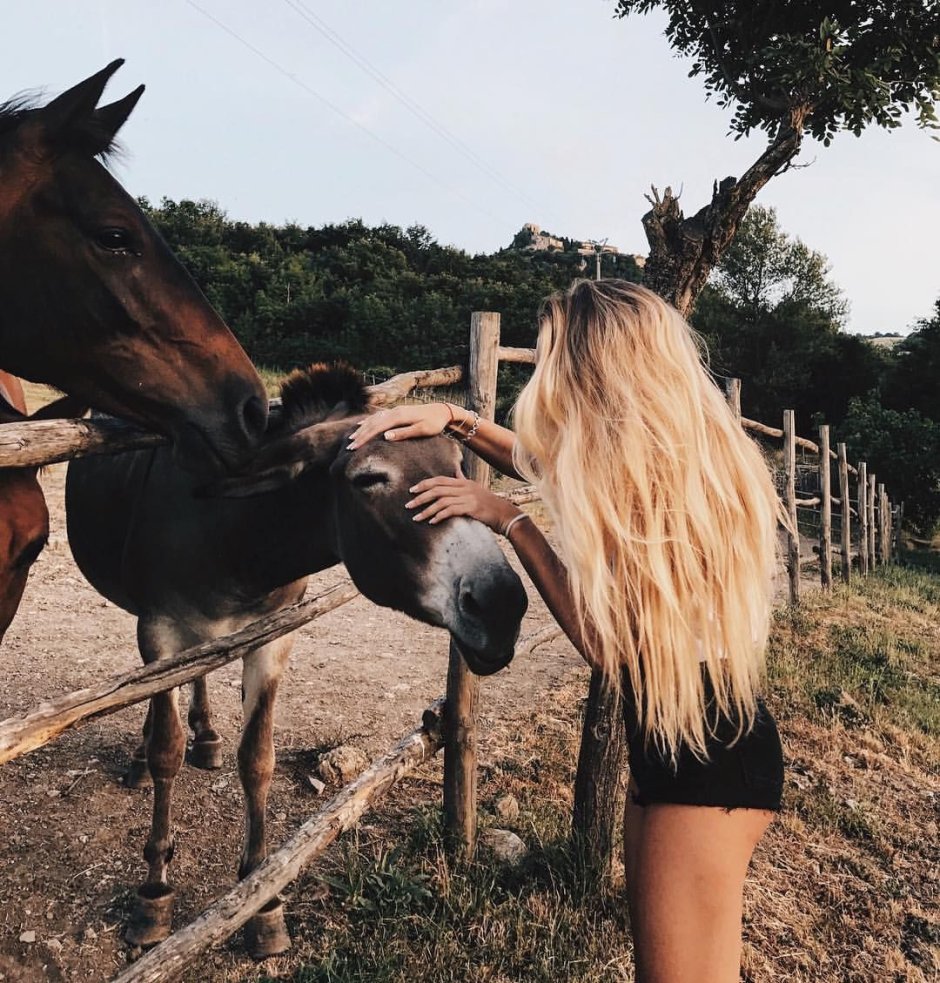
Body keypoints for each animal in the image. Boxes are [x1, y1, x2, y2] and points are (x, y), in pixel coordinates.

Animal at [65, 364, 528, 956]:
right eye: (368, 480)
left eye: (456, 468)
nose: (503, 604)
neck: (234, 536)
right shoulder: (161, 632)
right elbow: (167, 751)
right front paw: (155, 893)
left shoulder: (273, 637)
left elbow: (257, 759)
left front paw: (261, 902)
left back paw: (205, 735)